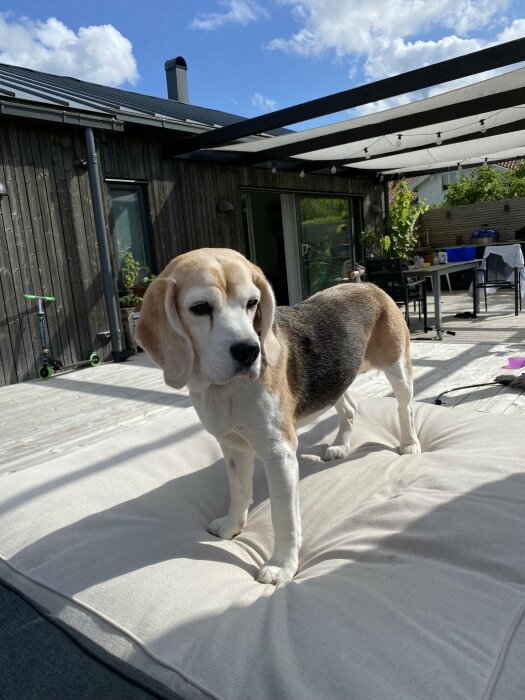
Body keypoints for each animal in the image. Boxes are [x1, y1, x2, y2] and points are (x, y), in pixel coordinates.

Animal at [136, 250, 422, 584]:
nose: (250, 351)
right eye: (200, 308)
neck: (224, 389)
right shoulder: (232, 446)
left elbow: (283, 517)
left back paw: (409, 443)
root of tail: (367, 285)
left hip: (398, 368)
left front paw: (282, 566)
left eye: (252, 303)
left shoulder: (279, 454)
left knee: (405, 408)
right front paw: (231, 527)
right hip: (337, 383)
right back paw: (340, 446)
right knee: (350, 408)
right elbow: (239, 491)